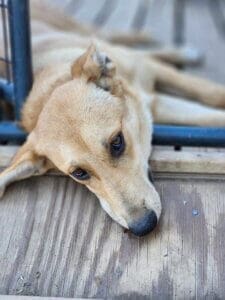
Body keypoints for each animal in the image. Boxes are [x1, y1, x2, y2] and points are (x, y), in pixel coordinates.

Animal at [0, 1, 225, 237]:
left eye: (117, 142)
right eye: (79, 173)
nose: (143, 226)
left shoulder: (152, 71)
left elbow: (214, 93)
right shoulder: (154, 105)